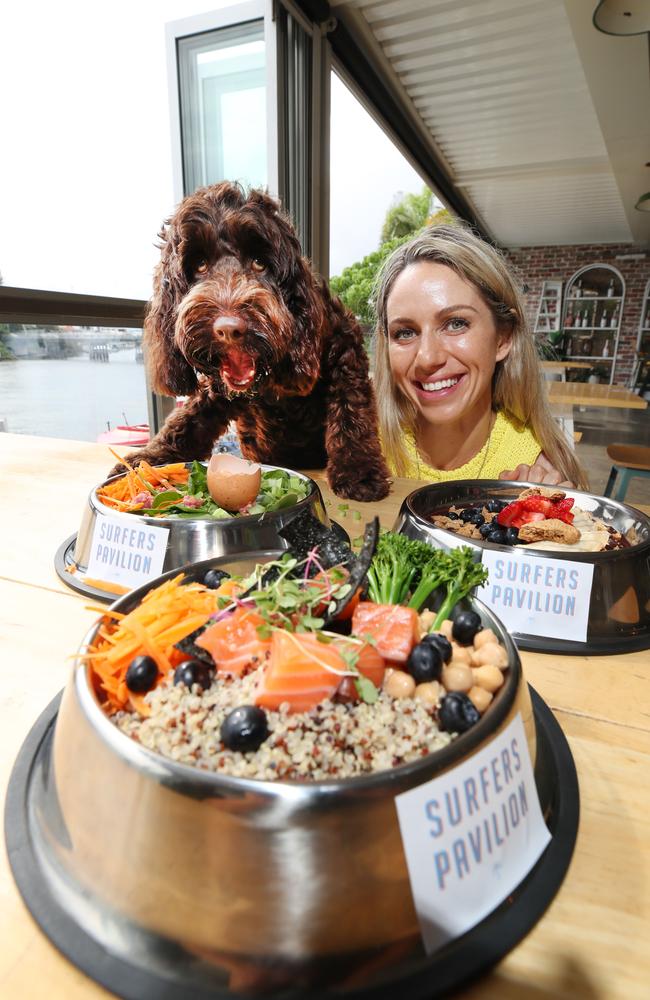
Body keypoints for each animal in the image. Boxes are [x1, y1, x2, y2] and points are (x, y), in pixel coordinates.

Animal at [113, 182, 388, 500]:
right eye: (200, 265)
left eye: (260, 263)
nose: (228, 329)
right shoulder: (215, 392)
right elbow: (185, 421)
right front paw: (145, 459)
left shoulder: (345, 350)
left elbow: (351, 410)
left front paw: (359, 471)